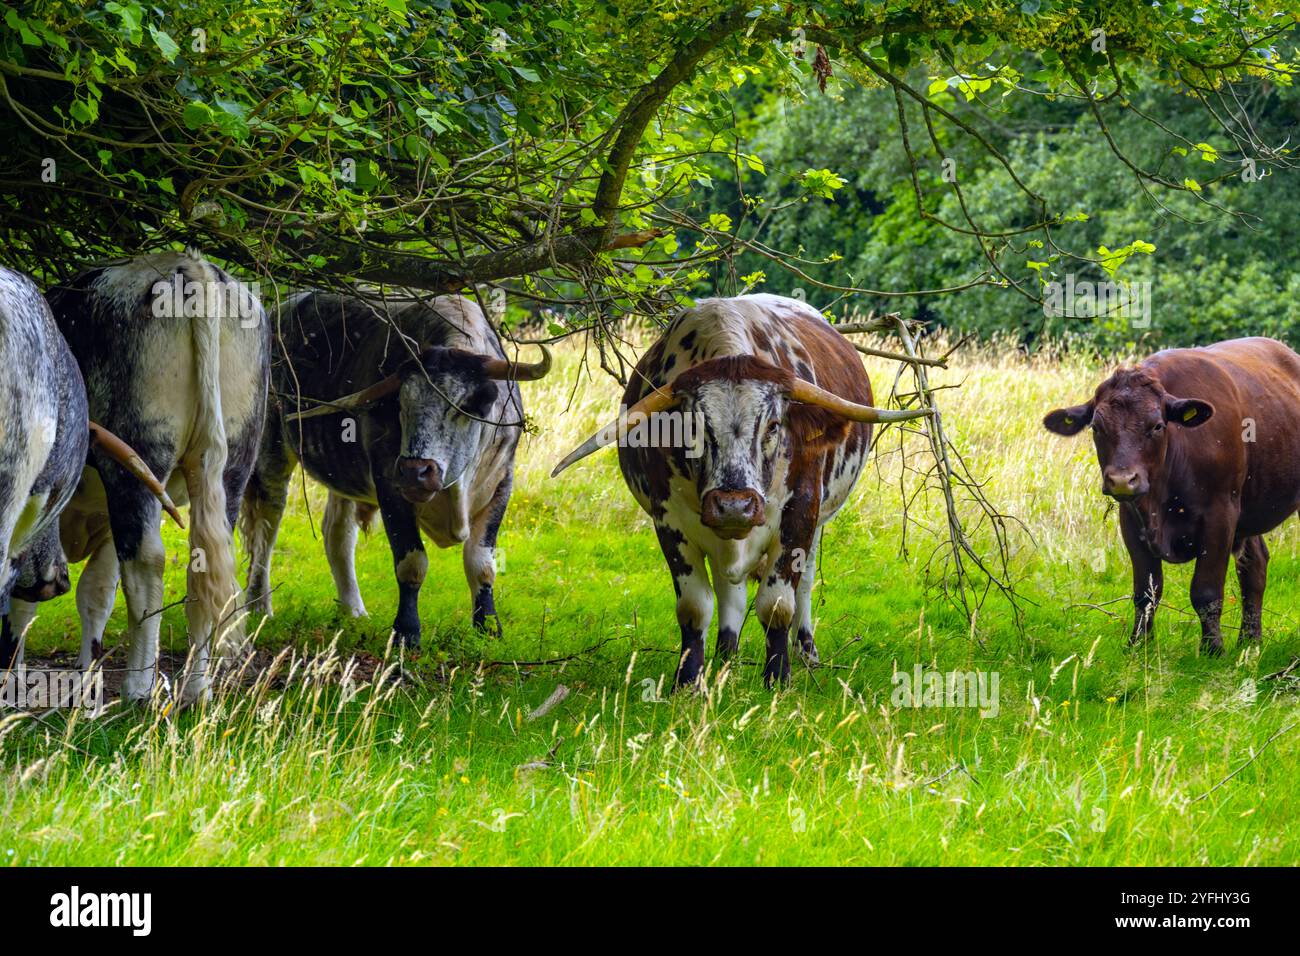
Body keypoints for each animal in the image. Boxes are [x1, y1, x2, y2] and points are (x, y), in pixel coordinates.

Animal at [28, 251, 269, 707]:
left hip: (138, 457)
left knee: (145, 565)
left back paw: (138, 689)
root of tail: (189, 265)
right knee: (204, 563)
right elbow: (95, 593)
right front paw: (84, 675)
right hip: (232, 460)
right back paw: (197, 691)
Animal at [243, 291, 548, 647]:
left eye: (460, 407)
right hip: (271, 453)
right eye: (401, 406)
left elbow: (481, 563)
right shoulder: (390, 487)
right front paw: (406, 631)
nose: (416, 472)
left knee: (337, 534)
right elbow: (412, 563)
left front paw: (487, 627)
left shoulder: (500, 485)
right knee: (265, 530)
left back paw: (353, 610)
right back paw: (259, 606)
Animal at [553, 293, 930, 686]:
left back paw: (806, 653)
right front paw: (688, 680)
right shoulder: (669, 520)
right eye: (692, 427)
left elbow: (777, 603)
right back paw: (726, 658)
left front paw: (778, 678)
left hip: (816, 525)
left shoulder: (799, 514)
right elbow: (694, 605)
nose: (734, 506)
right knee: (728, 590)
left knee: (804, 585)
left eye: (774, 425)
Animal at [1040, 335, 1300, 658]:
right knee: (1255, 565)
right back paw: (1250, 642)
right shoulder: (1131, 520)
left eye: (1157, 425)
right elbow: (1145, 592)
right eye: (1097, 427)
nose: (1122, 480)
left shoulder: (1221, 515)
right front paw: (1139, 645)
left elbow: (1206, 591)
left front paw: (1212, 650)